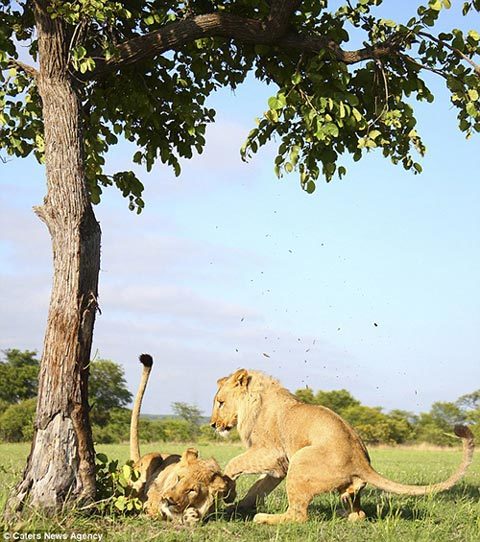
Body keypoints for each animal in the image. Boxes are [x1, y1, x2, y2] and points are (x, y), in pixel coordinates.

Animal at [129, 354, 234, 524]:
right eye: (178, 478)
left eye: (191, 490)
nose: (168, 500)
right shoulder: (154, 497)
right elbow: (153, 508)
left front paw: (192, 515)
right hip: (151, 460)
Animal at [209, 372, 472, 524]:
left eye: (220, 403)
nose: (212, 424)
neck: (256, 399)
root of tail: (361, 461)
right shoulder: (280, 466)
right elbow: (259, 486)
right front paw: (238, 504)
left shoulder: (270, 452)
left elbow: (234, 463)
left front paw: (228, 491)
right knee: (360, 514)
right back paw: (346, 513)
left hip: (300, 461)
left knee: (298, 516)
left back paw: (263, 518)